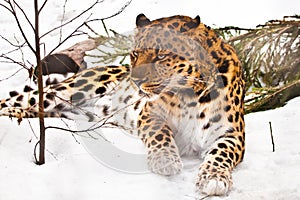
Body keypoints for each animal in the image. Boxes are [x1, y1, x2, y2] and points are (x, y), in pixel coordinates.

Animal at [0, 14, 244, 197]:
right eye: (135, 54)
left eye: (161, 56)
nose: (134, 80)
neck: (189, 93)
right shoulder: (149, 113)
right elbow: (160, 133)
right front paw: (165, 159)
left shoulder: (232, 133)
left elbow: (222, 152)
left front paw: (214, 177)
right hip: (62, 93)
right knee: (15, 101)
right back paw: (12, 114)